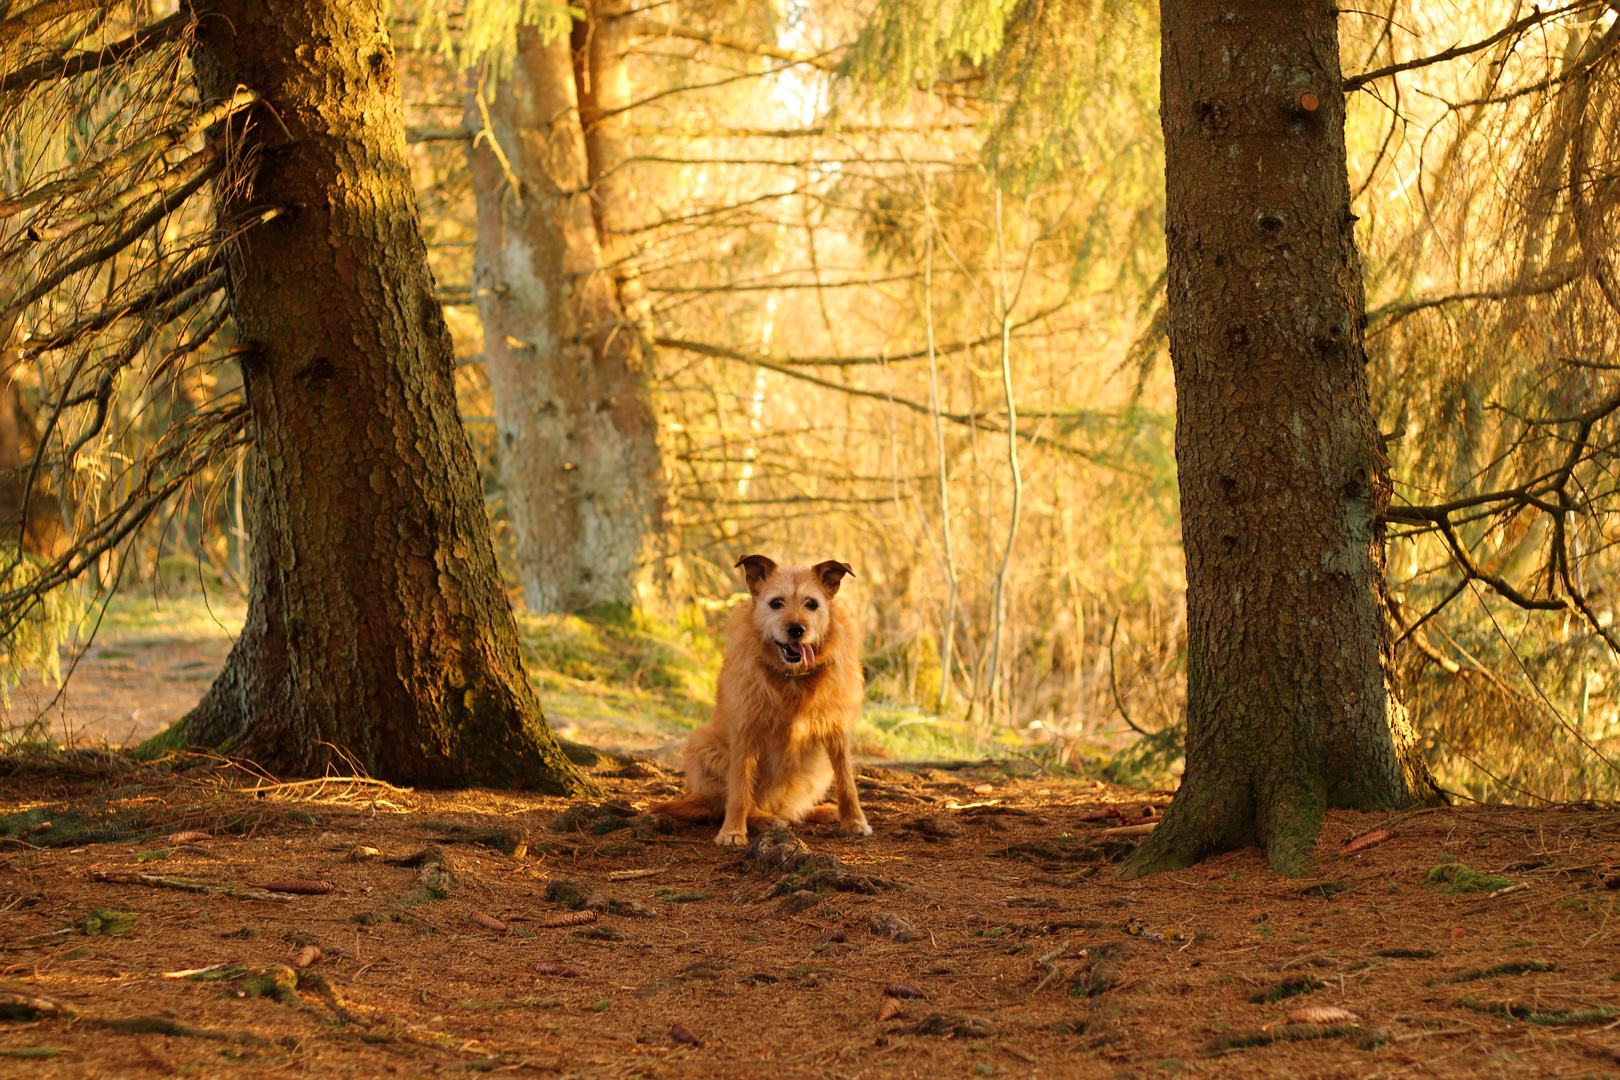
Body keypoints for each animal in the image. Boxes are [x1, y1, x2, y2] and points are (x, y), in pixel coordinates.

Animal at [648, 557, 874, 841]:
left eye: (812, 603)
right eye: (776, 602)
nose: (796, 629)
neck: (793, 677)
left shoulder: (836, 730)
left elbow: (846, 782)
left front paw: (854, 820)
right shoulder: (746, 731)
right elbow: (739, 789)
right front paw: (733, 831)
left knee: (790, 807)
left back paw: (817, 811)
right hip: (703, 744)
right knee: (727, 803)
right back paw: (762, 818)